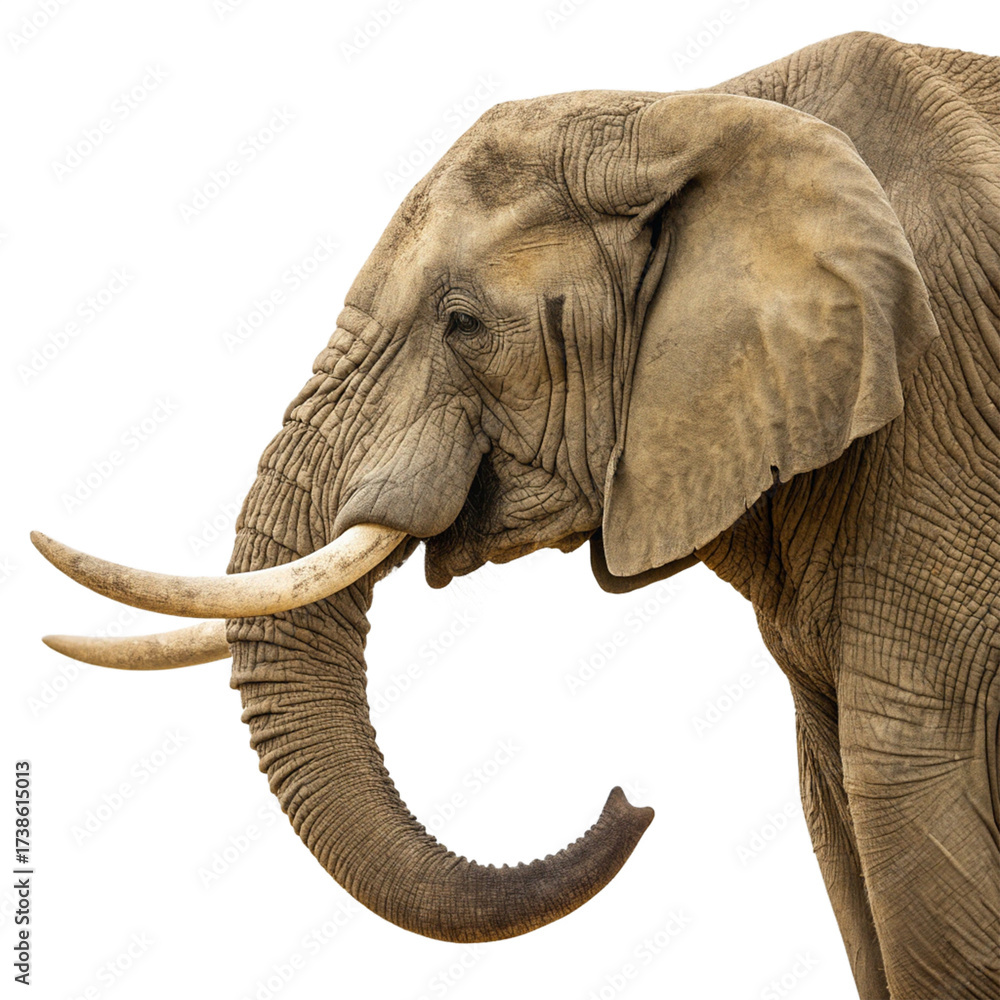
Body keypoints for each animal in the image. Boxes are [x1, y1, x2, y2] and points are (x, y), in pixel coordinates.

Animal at [33, 30, 999, 1000]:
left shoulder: (941, 426)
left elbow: (912, 800)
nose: (629, 801)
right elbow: (840, 825)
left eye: (462, 323)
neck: (699, 112)